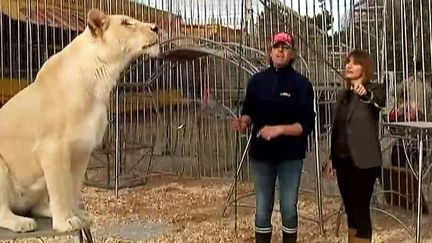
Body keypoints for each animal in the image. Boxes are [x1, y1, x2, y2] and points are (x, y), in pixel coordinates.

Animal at [0, 9, 159, 234]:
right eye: (126, 23)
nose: (156, 27)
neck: (100, 79)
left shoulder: (82, 149)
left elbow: (73, 188)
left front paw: (78, 215)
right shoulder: (53, 148)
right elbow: (60, 188)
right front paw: (65, 221)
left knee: (35, 206)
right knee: (3, 211)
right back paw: (21, 222)